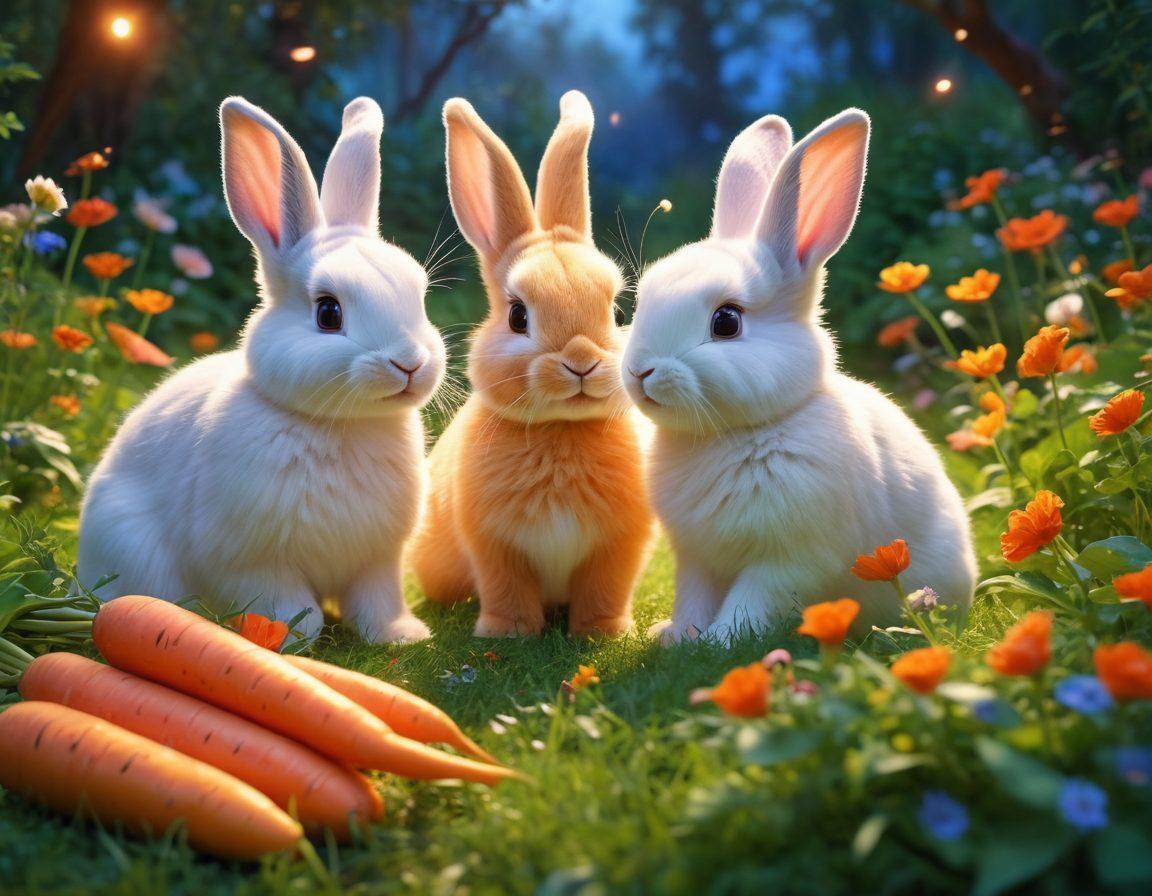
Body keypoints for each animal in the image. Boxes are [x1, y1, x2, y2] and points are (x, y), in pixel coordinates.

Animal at [76, 96, 447, 644]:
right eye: (328, 313)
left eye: (419, 296)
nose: (410, 363)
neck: (342, 425)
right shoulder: (254, 564)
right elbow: (290, 606)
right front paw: (290, 640)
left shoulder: (379, 560)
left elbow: (377, 602)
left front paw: (401, 635)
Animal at [408, 90, 654, 638]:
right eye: (518, 315)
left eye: (617, 312)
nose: (581, 361)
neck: (561, 429)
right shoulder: (495, 545)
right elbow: (507, 588)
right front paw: (509, 633)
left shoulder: (619, 547)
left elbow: (605, 589)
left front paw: (603, 632)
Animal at [621, 108, 977, 644]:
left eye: (726, 322)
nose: (639, 370)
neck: (731, 435)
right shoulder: (698, 559)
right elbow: (694, 598)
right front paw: (677, 637)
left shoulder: (788, 560)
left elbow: (750, 603)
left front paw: (718, 643)